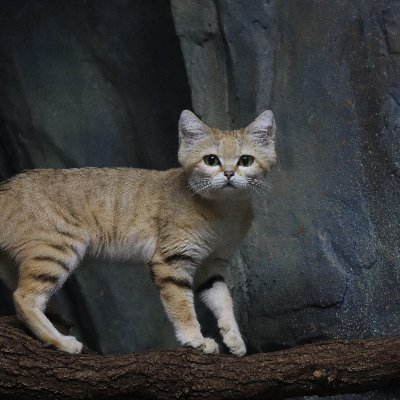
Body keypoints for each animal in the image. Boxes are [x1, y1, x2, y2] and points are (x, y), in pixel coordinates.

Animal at [0, 108, 276, 354]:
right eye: (211, 160)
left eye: (245, 160)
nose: (229, 173)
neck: (224, 212)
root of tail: (8, 187)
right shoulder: (171, 260)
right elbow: (182, 305)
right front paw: (195, 339)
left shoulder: (210, 265)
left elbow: (224, 300)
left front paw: (234, 339)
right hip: (57, 250)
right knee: (23, 299)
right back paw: (62, 342)